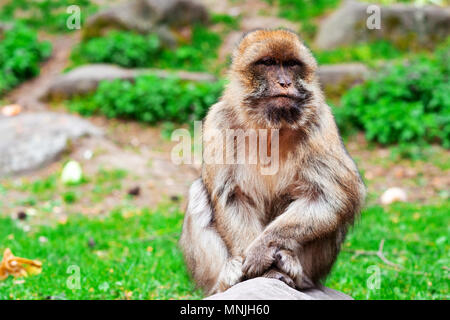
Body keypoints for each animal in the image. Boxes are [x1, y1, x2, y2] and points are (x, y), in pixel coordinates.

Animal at [179, 29, 366, 296]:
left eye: (291, 64)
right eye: (268, 63)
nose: (285, 83)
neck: (270, 126)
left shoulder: (321, 121)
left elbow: (335, 195)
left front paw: (262, 250)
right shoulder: (219, 120)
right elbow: (231, 195)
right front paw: (261, 270)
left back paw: (293, 270)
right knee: (199, 193)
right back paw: (227, 278)